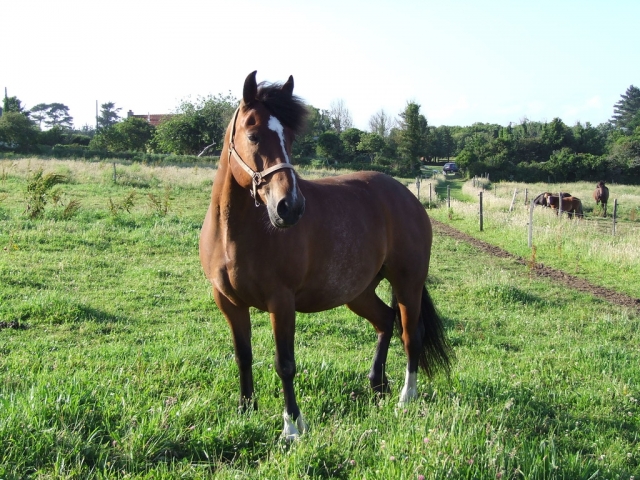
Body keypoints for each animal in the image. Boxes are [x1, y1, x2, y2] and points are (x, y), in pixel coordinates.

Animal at [199, 72, 451, 440]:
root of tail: (407, 197)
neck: (234, 233)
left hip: (408, 283)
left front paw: (292, 426)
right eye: (254, 135)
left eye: (289, 138)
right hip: (358, 291)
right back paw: (377, 385)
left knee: (410, 335)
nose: (289, 207)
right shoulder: (228, 302)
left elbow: (284, 364)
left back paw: (406, 398)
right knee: (385, 321)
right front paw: (245, 411)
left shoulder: (281, 302)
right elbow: (243, 356)